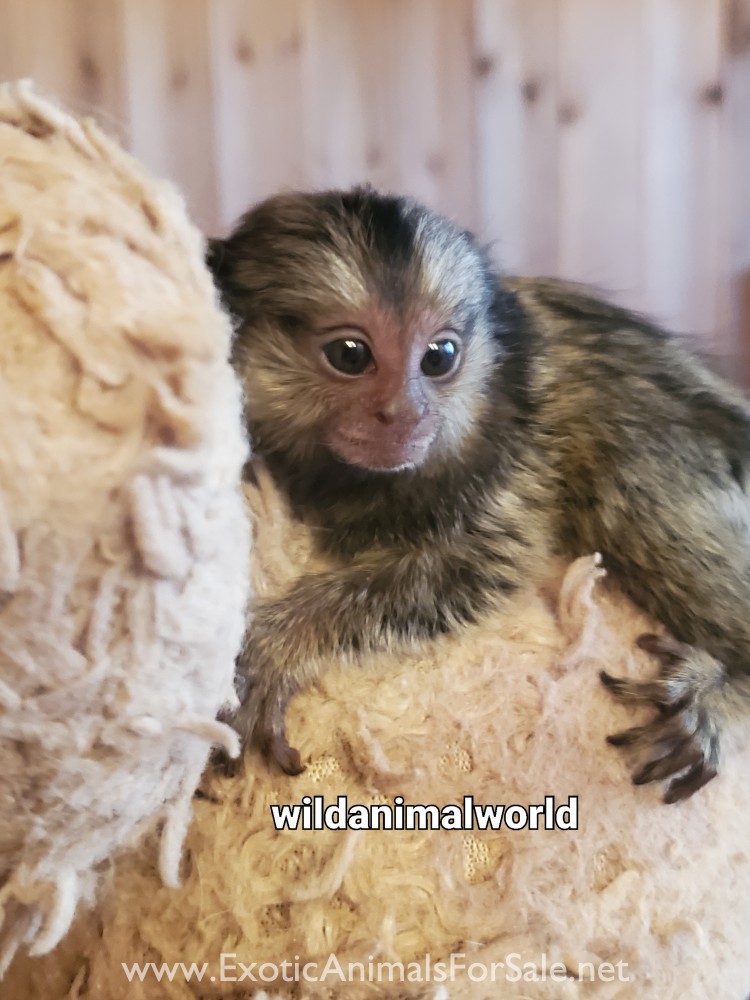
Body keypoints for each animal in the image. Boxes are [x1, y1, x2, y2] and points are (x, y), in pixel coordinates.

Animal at [208, 185, 750, 802]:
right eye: (350, 354)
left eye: (439, 357)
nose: (405, 414)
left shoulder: (514, 457)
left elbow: (477, 562)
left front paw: (274, 648)